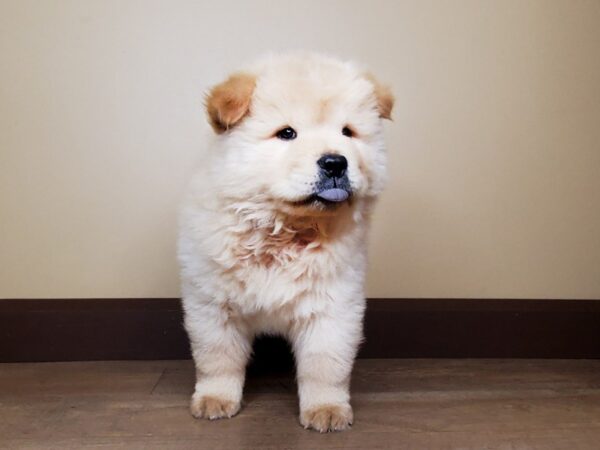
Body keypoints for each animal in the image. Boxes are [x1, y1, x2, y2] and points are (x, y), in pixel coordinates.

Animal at [178, 52, 394, 432]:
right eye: (287, 133)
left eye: (348, 132)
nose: (335, 161)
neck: (283, 229)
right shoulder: (213, 304)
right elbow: (218, 358)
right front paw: (215, 400)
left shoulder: (332, 306)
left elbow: (325, 366)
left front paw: (326, 410)